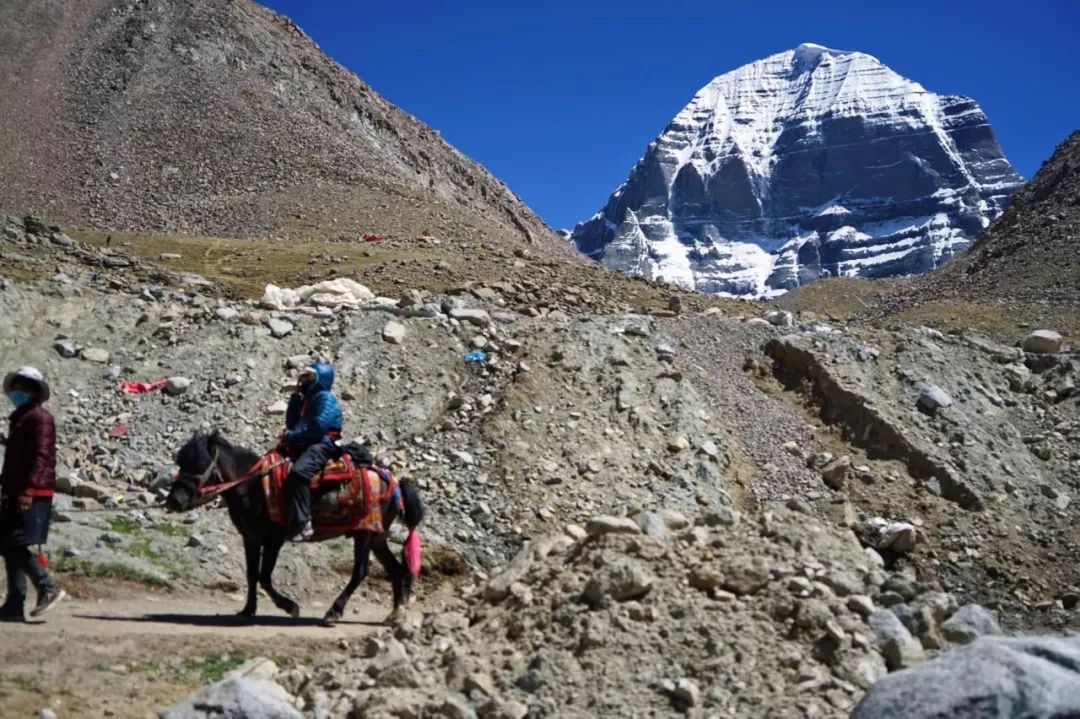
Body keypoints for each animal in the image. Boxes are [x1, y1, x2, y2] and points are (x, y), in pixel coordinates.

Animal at [167, 431, 421, 621]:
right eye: (180, 461)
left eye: (200, 463)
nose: (174, 501)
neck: (253, 485)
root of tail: (394, 481)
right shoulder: (251, 537)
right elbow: (252, 574)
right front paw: (248, 610)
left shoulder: (274, 539)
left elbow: (264, 576)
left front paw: (290, 606)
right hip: (377, 537)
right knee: (397, 570)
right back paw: (396, 613)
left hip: (365, 532)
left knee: (360, 571)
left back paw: (334, 612)